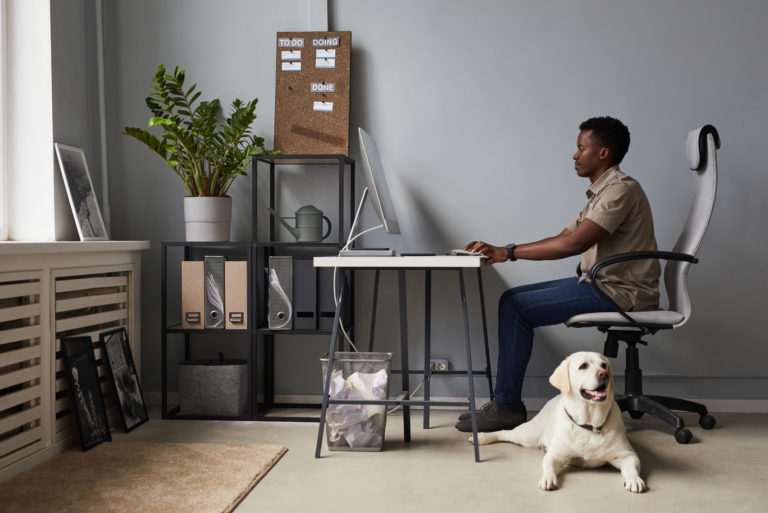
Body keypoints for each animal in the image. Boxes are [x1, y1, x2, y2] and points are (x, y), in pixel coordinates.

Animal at [474, 350, 640, 490]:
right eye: (583, 366)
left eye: (604, 365)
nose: (604, 374)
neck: (589, 423)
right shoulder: (556, 454)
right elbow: (548, 464)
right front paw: (547, 478)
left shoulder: (627, 455)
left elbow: (631, 467)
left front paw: (635, 480)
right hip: (527, 435)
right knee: (505, 432)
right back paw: (482, 437)